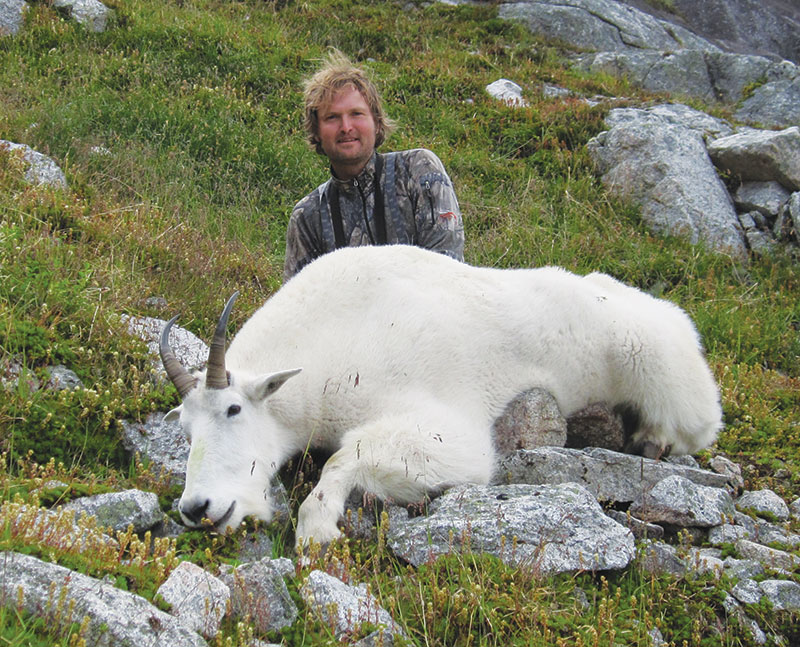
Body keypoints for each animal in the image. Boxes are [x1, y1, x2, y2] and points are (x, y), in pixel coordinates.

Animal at [159, 246, 720, 548]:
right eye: (184, 429)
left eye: (234, 409)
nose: (196, 507)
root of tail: (675, 317)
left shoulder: (443, 427)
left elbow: (343, 459)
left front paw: (319, 530)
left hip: (654, 364)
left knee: (696, 423)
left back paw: (651, 441)